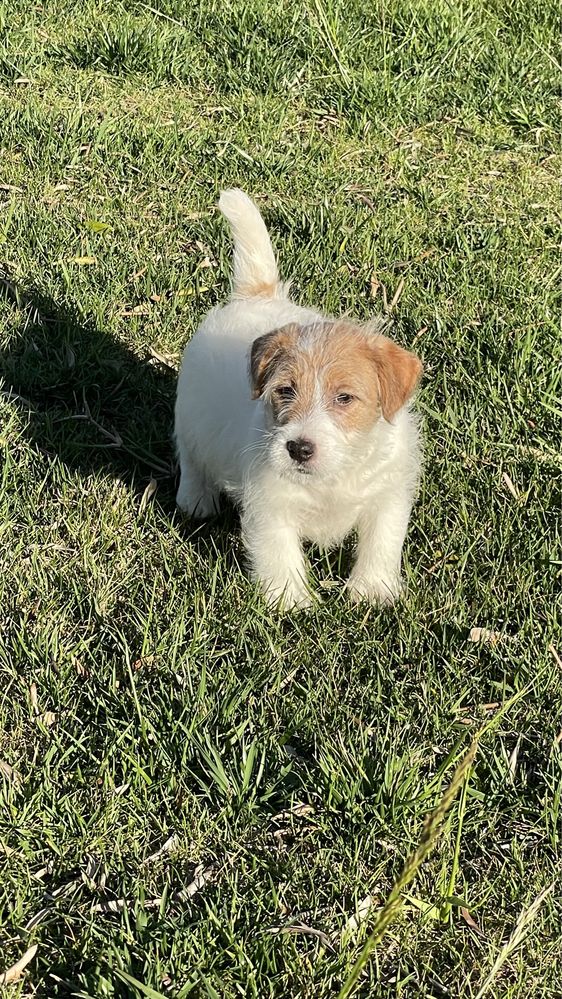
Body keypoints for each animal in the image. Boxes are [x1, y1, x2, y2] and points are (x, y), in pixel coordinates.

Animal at [175, 188, 420, 608]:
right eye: (285, 391)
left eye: (345, 398)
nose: (299, 448)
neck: (332, 477)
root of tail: (256, 294)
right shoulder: (270, 507)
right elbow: (279, 552)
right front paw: (290, 601)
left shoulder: (386, 497)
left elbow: (381, 542)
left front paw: (372, 591)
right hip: (191, 417)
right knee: (190, 458)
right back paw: (196, 499)